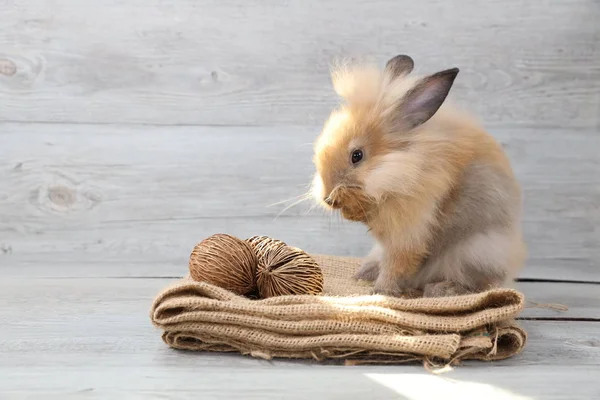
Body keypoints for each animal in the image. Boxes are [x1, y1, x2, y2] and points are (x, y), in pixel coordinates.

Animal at [312, 54, 528, 296]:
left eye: (357, 156)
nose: (327, 197)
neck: (403, 169)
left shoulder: (408, 232)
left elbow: (397, 263)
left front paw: (381, 292)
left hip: (474, 252)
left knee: (480, 283)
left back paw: (442, 289)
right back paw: (364, 273)